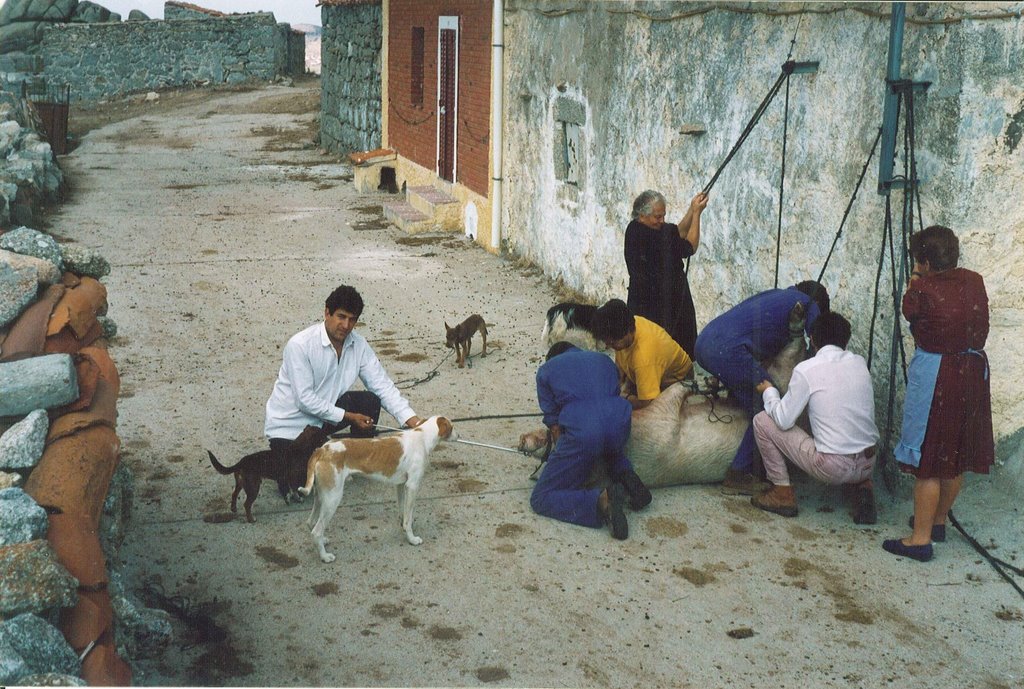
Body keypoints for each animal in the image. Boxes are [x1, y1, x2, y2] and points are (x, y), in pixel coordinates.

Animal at [296, 415, 456, 561]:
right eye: (452, 427)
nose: (459, 435)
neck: (422, 437)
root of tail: (322, 449)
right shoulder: (412, 486)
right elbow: (408, 518)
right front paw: (411, 538)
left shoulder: (401, 485)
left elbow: (403, 512)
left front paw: (403, 527)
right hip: (332, 498)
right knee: (316, 531)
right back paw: (325, 556)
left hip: (321, 496)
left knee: (310, 523)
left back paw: (323, 541)